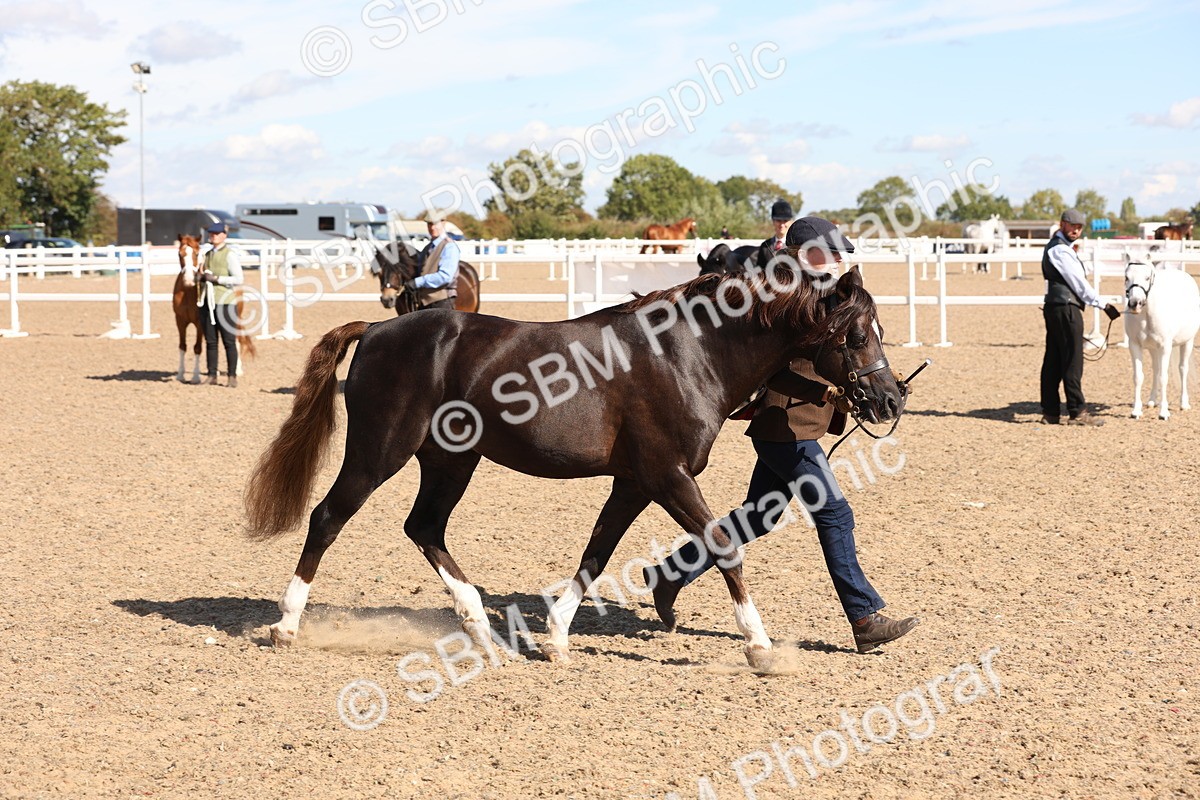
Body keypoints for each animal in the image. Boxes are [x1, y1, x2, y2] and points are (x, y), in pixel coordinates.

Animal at [244, 263, 904, 669]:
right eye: (855, 337)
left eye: (879, 330)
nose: (891, 400)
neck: (690, 353)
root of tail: (380, 327)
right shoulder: (668, 476)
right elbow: (725, 547)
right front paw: (762, 649)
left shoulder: (635, 481)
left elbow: (598, 552)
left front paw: (556, 638)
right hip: (380, 451)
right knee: (328, 518)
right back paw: (286, 626)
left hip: (451, 461)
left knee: (424, 528)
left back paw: (484, 632)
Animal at [1122, 257, 1200, 420]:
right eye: (1126, 277)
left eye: (1147, 277)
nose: (1135, 304)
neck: (1146, 314)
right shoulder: (1134, 346)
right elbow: (1138, 377)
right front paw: (1136, 411)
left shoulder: (1165, 347)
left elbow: (1164, 378)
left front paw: (1164, 412)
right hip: (1153, 349)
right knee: (1156, 369)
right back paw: (1152, 401)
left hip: (1187, 342)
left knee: (1183, 369)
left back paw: (1184, 403)